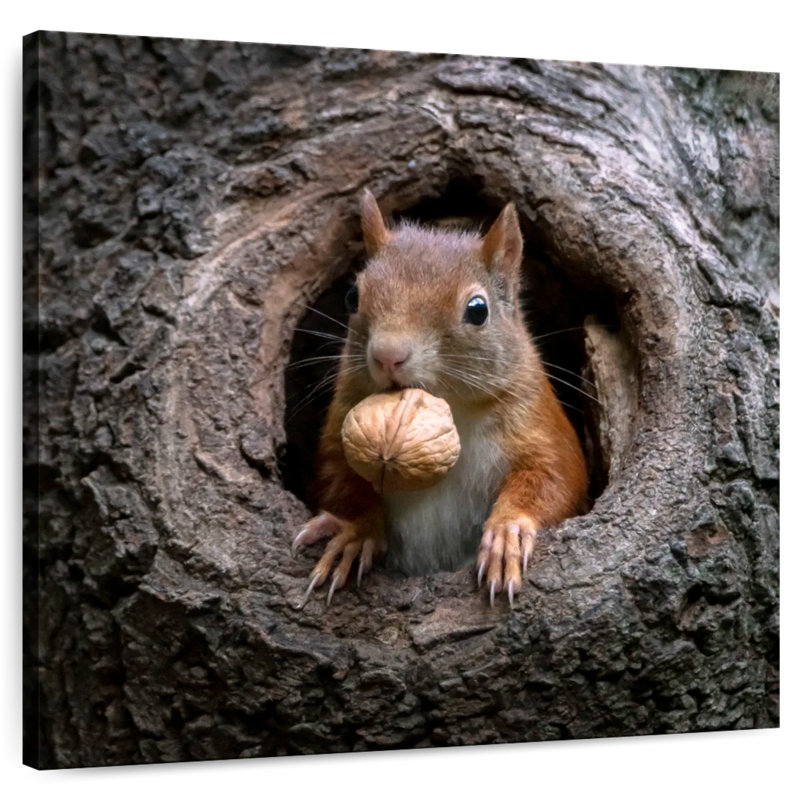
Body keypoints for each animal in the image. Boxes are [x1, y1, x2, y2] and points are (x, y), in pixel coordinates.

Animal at [292, 190, 588, 606]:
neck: (453, 409)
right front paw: (353, 533)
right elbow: (340, 479)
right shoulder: (342, 422)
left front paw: (507, 532)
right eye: (352, 296)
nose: (388, 355)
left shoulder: (538, 421)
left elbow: (557, 476)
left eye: (478, 310)